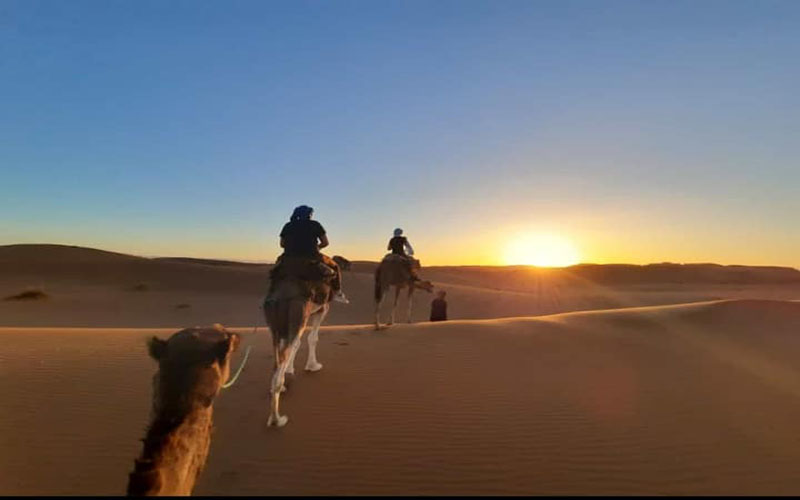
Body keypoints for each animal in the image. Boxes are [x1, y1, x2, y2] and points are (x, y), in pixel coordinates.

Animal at [262, 258, 332, 426]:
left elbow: (297, 344)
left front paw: (290, 370)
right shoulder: (322, 309)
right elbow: (312, 338)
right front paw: (313, 365)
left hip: (275, 326)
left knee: (278, 356)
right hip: (298, 315)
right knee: (281, 363)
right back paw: (277, 419)